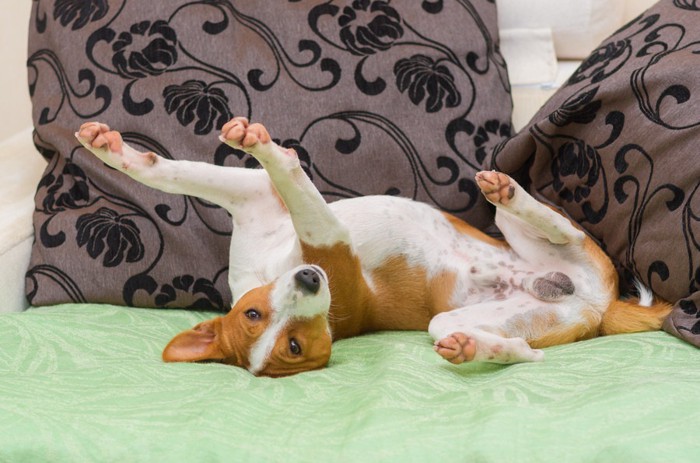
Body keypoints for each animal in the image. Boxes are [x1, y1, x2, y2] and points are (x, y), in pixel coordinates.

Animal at [76, 118, 672, 376]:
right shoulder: (314, 233)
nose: (310, 279)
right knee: (523, 344)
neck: (275, 267)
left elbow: (173, 174)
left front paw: (110, 149)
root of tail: (600, 305)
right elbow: (272, 175)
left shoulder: (260, 201)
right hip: (478, 320)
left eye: (253, 312)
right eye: (294, 346)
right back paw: (483, 349)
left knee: (559, 228)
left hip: (539, 243)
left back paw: (507, 192)